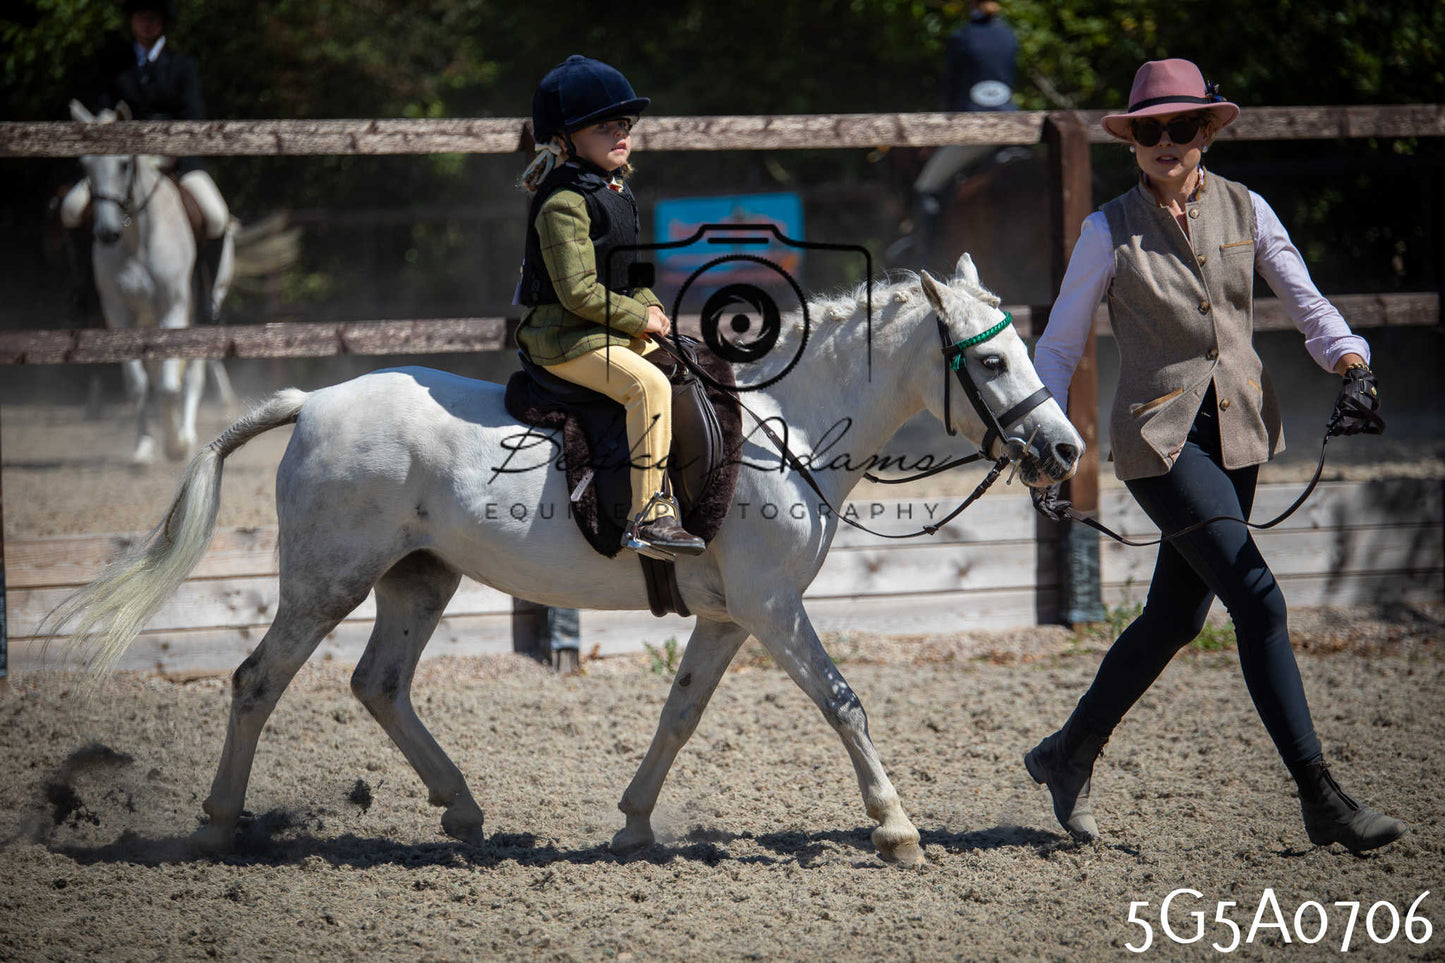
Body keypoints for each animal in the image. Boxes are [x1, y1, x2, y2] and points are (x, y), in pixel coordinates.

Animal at [47, 253, 1084, 866]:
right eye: (991, 364)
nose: (1065, 450)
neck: (787, 426)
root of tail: (314, 401)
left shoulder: (727, 615)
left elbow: (680, 715)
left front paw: (634, 822)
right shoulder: (770, 604)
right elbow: (841, 700)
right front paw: (897, 827)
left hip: (418, 578)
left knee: (379, 684)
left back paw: (463, 812)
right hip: (325, 581)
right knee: (258, 680)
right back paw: (217, 825)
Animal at [69, 99, 239, 464]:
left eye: (123, 164)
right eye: (84, 164)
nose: (107, 233)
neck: (136, 239)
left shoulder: (172, 308)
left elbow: (169, 385)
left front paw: (175, 443)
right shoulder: (119, 315)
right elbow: (138, 384)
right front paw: (144, 447)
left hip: (203, 304)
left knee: (193, 372)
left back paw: (186, 433)